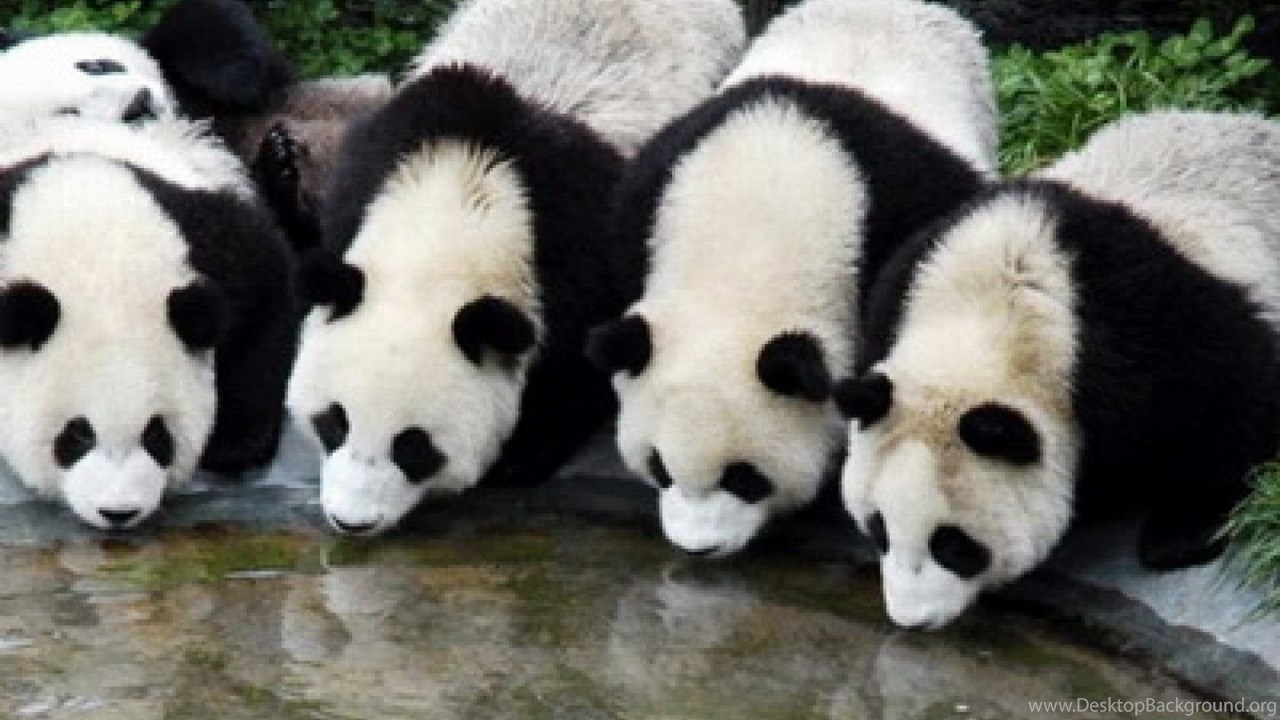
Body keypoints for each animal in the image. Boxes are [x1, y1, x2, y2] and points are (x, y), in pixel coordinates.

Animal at [0, 114, 296, 530]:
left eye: (157, 434)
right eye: (77, 434)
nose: (119, 512)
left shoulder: (207, 242)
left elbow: (265, 293)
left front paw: (234, 442)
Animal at [286, 0, 747, 536]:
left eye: (413, 447)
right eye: (334, 421)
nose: (352, 521)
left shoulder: (578, 243)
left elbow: (578, 367)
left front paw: (518, 457)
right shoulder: (368, 174)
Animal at [836, 110, 1280, 630]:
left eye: (954, 544)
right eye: (879, 528)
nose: (912, 619)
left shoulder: (1148, 331)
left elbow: (1229, 402)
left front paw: (1184, 528)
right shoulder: (907, 282)